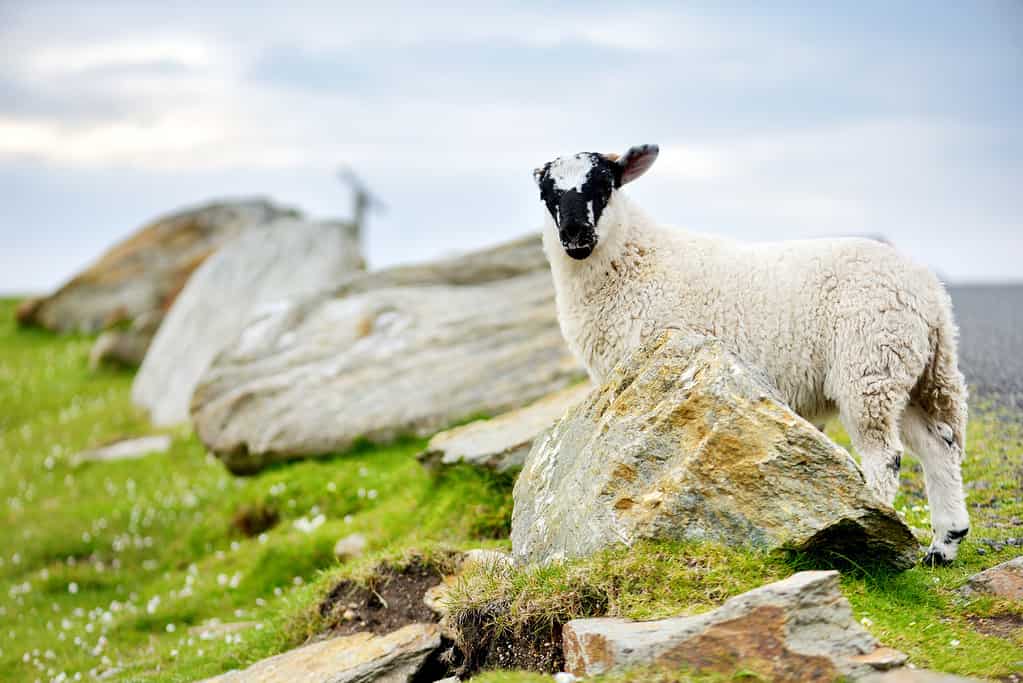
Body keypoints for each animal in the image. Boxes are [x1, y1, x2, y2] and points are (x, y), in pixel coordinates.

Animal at [531, 141, 969, 564]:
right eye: (546, 194)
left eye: (605, 184)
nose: (575, 233)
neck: (636, 262)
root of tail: (930, 294)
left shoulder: (649, 371)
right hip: (908, 372)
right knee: (940, 445)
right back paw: (944, 546)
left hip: (869, 366)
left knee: (886, 455)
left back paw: (875, 525)